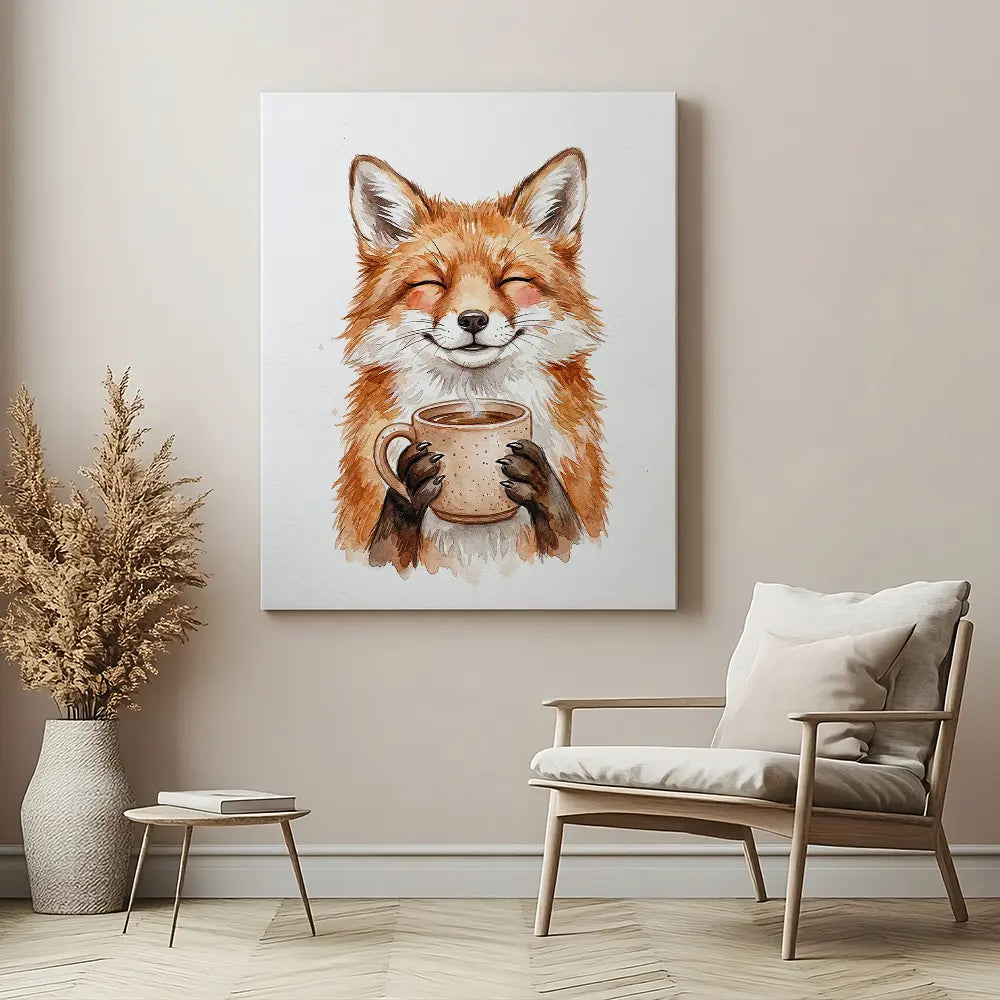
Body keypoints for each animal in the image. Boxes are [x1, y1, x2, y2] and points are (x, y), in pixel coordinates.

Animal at [333, 147, 608, 578]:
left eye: (510, 280)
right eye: (433, 283)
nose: (474, 319)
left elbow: (569, 536)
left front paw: (541, 485)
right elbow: (387, 548)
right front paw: (410, 483)